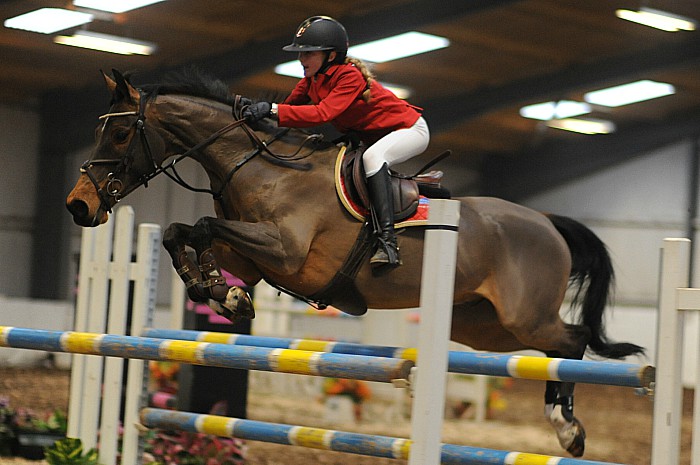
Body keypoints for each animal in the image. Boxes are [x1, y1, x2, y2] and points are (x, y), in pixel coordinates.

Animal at [67, 70, 644, 456]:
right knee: (553, 347)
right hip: (485, 327)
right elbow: (180, 233)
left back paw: (568, 428)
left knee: (571, 341)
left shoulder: (287, 251)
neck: (259, 168)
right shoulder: (253, 256)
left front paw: (219, 290)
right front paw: (218, 290)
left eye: (121, 134)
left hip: (524, 315)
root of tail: (546, 221)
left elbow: (204, 227)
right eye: (98, 131)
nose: (79, 207)